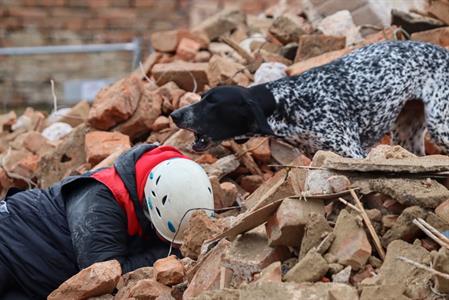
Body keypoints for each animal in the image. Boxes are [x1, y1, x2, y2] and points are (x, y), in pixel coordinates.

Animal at [170, 41, 448, 159]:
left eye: (212, 102)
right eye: (202, 97)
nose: (175, 115)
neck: (285, 103)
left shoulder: (352, 153)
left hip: (440, 125)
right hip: (406, 133)